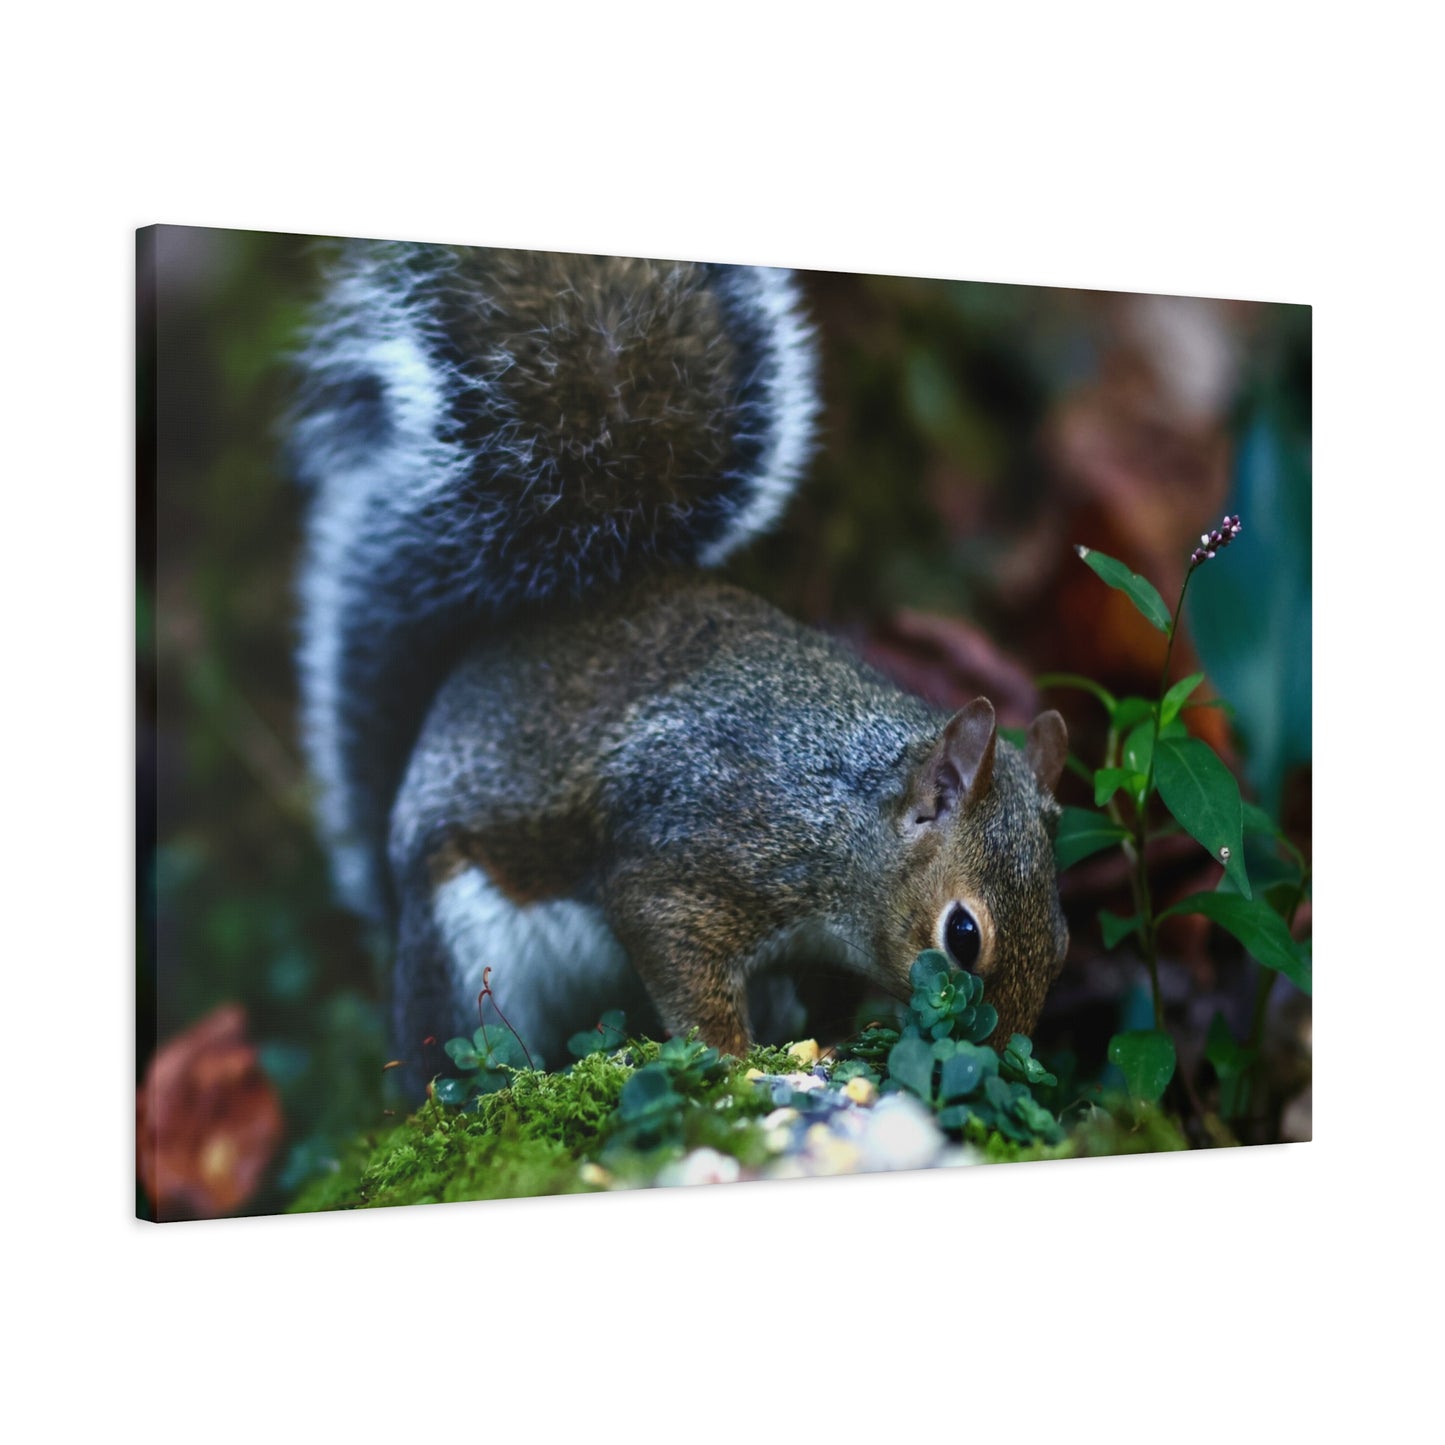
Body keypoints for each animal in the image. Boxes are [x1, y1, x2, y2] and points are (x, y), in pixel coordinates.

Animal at [290, 241, 1070, 1091]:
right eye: (963, 934)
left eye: (1062, 941)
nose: (1001, 1060)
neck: (846, 815)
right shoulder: (701, 852)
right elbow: (671, 947)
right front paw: (731, 1059)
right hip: (466, 951)